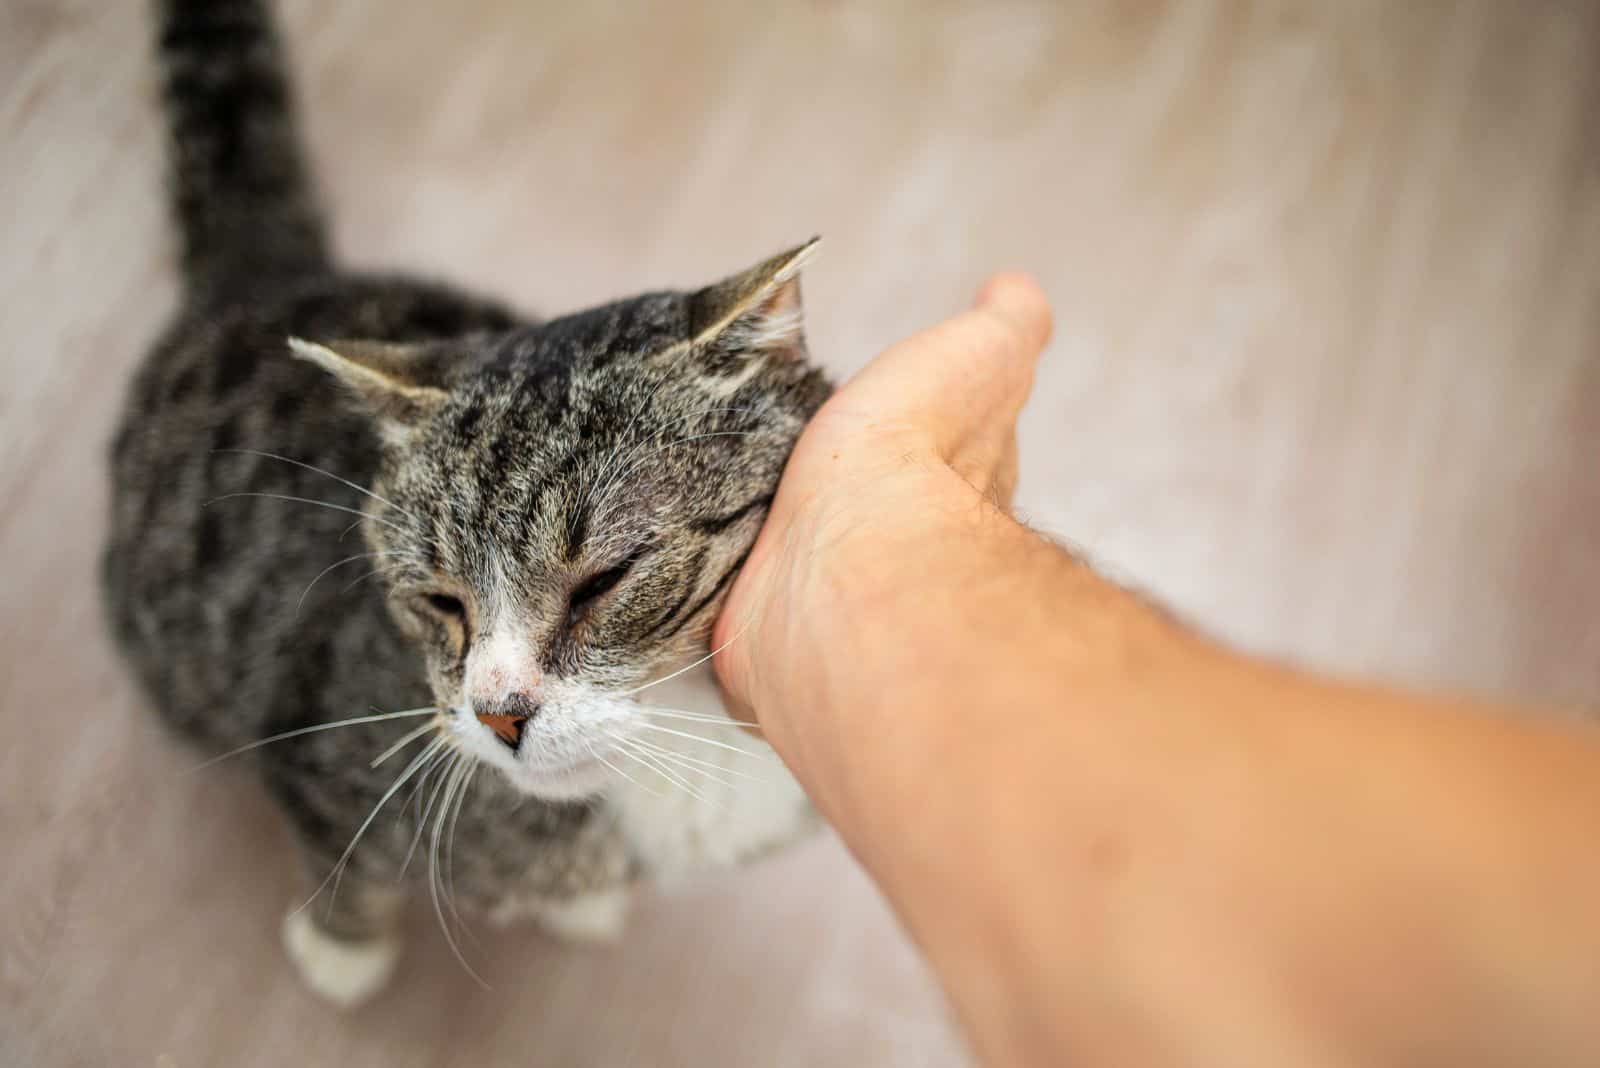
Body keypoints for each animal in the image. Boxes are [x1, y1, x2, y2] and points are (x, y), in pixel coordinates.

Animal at [103, 0, 825, 1010]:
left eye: (604, 582)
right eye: (439, 601)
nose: (498, 718)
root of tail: (266, 280)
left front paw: (576, 903)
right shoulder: (318, 752)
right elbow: (349, 865)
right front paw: (343, 954)